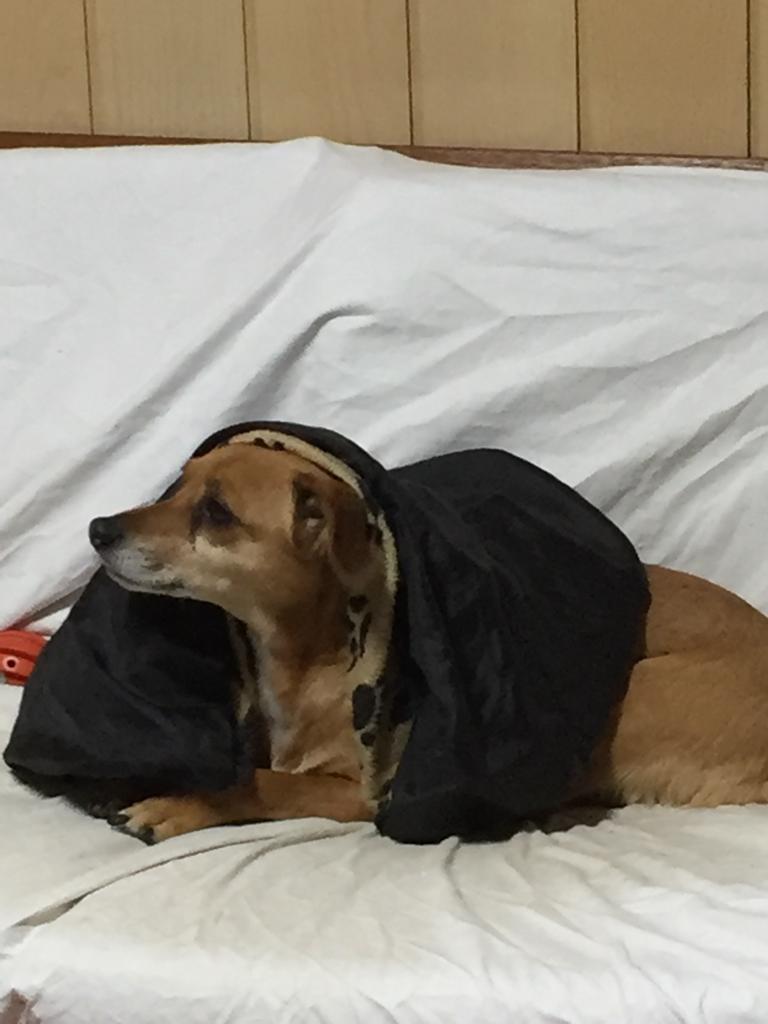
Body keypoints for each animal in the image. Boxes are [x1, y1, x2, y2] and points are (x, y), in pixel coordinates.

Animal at [89, 441, 768, 842]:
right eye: (179, 485)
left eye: (217, 512)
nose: (98, 527)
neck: (307, 653)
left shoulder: (366, 791)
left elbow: (266, 782)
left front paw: (177, 804)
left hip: (633, 697)